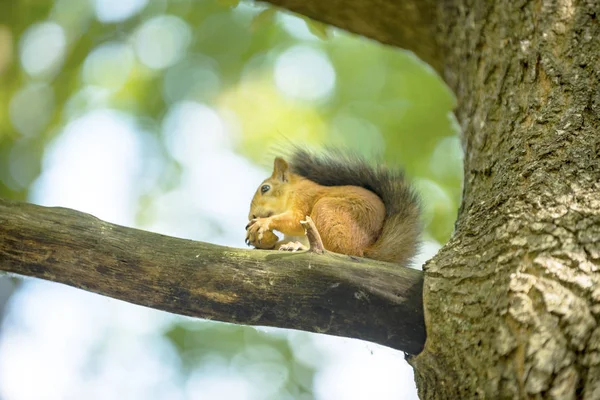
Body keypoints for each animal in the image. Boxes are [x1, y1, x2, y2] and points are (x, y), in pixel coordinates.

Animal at [244, 147, 422, 266]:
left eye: (265, 188)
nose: (252, 217)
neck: (292, 191)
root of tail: (364, 250)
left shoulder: (304, 201)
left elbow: (295, 220)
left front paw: (263, 223)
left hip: (328, 211)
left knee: (337, 250)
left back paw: (298, 246)